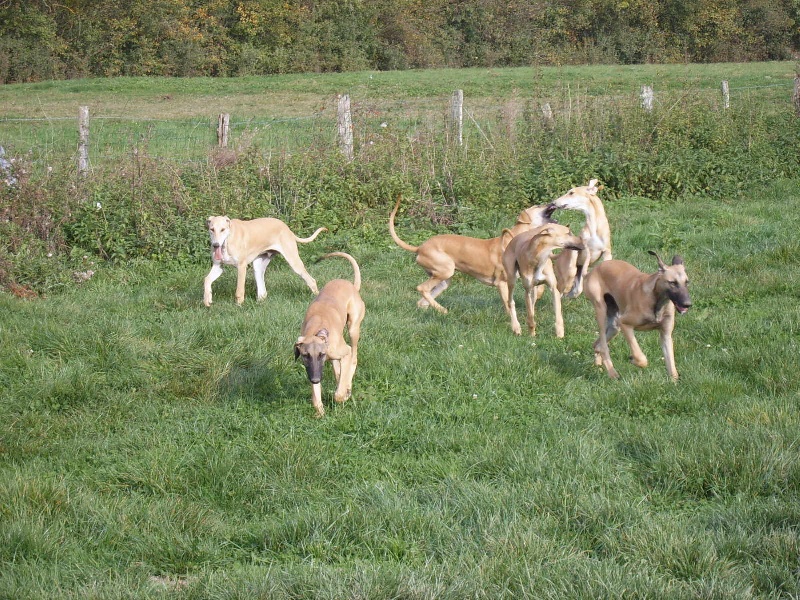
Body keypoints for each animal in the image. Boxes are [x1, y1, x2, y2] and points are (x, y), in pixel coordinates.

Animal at [296, 252, 368, 418]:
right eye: (305, 355)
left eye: (321, 354)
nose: (315, 379)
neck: (317, 329)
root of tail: (352, 286)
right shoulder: (314, 368)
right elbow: (316, 397)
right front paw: (320, 412)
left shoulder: (344, 352)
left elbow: (339, 394)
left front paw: (344, 394)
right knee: (338, 370)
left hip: (353, 329)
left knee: (353, 358)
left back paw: (347, 386)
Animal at [390, 198, 556, 318]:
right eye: (538, 205)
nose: (553, 202)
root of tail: (420, 247)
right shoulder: (502, 283)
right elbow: (509, 303)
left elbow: (539, 287)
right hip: (446, 271)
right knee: (421, 288)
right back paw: (443, 310)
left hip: (443, 280)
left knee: (422, 300)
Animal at [584, 252, 692, 382]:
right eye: (673, 282)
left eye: (687, 282)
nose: (687, 304)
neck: (656, 302)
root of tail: (594, 269)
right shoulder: (625, 324)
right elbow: (641, 358)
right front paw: (634, 359)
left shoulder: (665, 335)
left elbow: (671, 364)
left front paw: (674, 381)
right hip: (601, 310)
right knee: (603, 347)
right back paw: (613, 373)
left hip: (614, 326)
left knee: (597, 345)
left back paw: (599, 365)